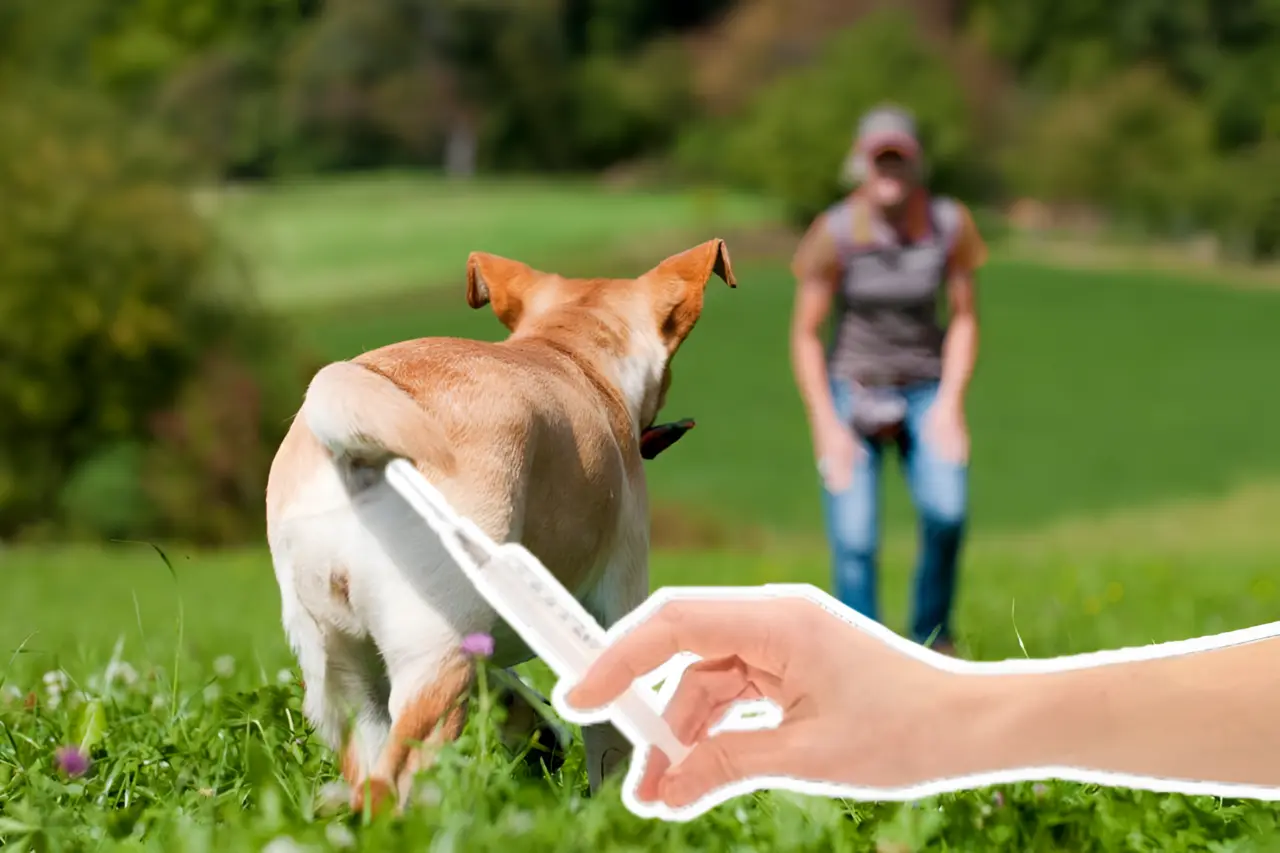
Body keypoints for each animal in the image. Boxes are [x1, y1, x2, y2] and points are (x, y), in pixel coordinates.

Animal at [264, 236, 737, 809]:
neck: (569, 351)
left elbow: (511, 683)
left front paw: (537, 734)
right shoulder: (616, 603)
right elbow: (610, 741)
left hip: (344, 678)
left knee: (369, 775)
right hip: (435, 658)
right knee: (399, 779)